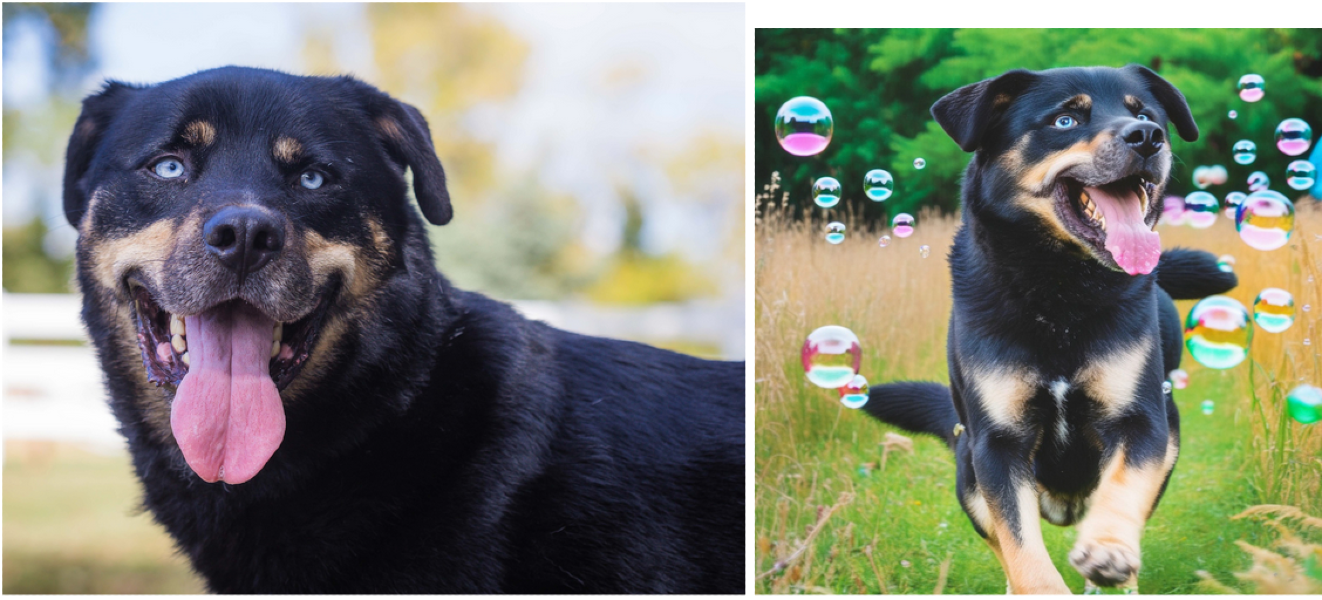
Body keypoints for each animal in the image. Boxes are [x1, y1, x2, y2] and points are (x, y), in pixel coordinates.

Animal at [861, 66, 1232, 594]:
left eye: (1145, 114)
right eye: (1065, 120)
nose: (1148, 137)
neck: (1058, 291)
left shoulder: (1141, 423)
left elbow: (1123, 490)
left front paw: (1109, 550)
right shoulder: (996, 445)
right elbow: (1020, 548)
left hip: (1170, 436)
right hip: (967, 471)